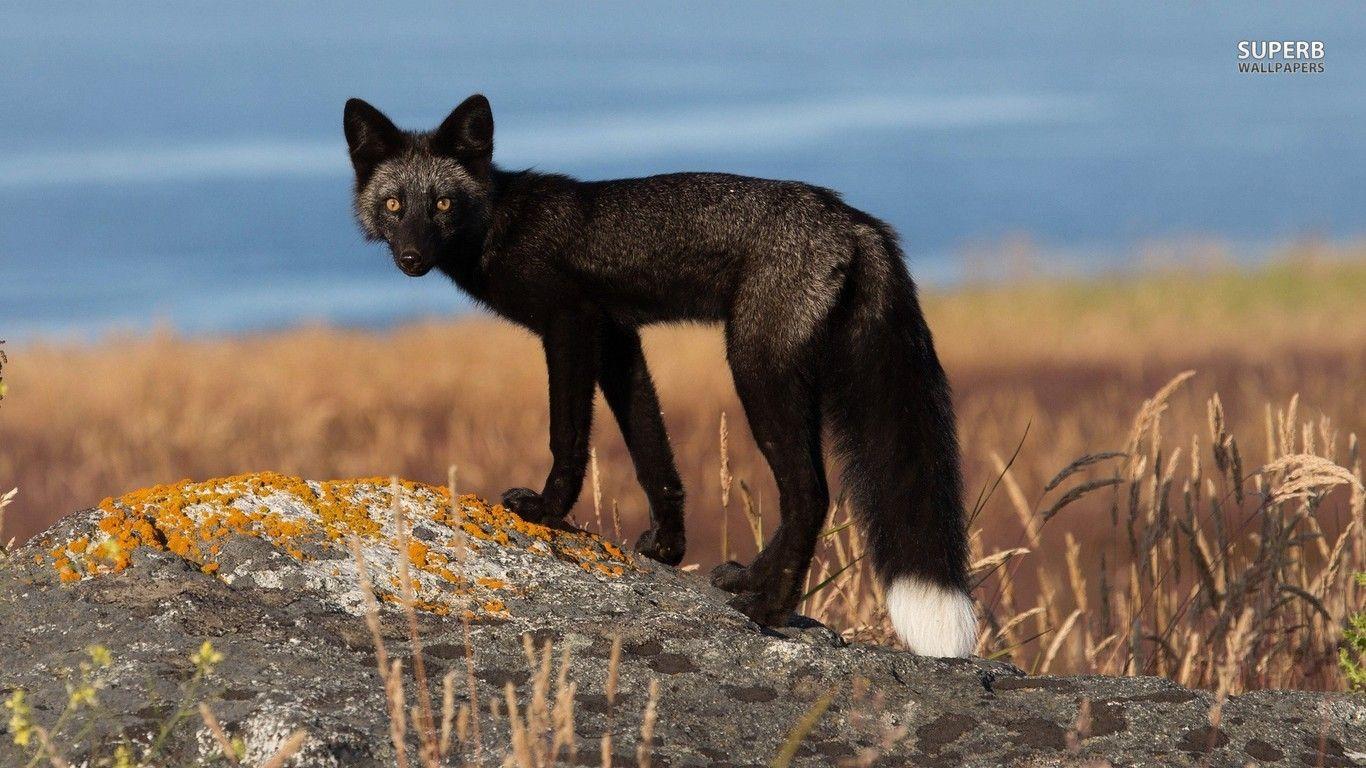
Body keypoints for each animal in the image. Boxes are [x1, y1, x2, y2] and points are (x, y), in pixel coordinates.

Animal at [343, 94, 977, 657]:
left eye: (443, 205)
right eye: (395, 206)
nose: (410, 259)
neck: (502, 224)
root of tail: (856, 220)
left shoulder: (570, 323)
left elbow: (567, 436)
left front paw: (546, 511)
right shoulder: (618, 337)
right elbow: (653, 452)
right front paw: (668, 549)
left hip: (756, 369)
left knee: (810, 494)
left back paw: (768, 609)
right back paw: (746, 581)